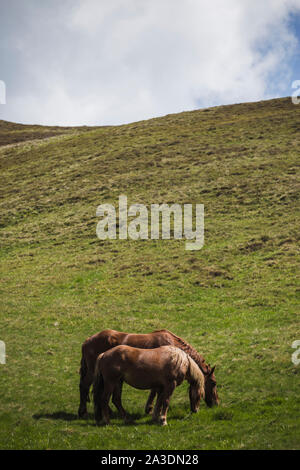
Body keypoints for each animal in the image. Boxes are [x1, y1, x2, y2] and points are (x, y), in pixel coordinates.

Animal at [77, 328, 218, 416]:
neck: (172, 345)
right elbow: (154, 391)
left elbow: (154, 391)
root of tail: (87, 341)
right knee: (84, 386)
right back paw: (83, 411)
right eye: (214, 383)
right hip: (93, 373)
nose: (216, 403)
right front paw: (149, 409)